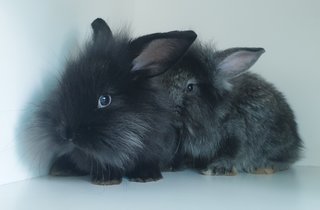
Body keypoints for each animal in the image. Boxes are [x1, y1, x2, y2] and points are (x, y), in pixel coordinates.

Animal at [159, 41, 304, 175]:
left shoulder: (236, 132)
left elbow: (231, 153)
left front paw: (215, 169)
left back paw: (264, 167)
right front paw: (168, 166)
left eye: (190, 87)